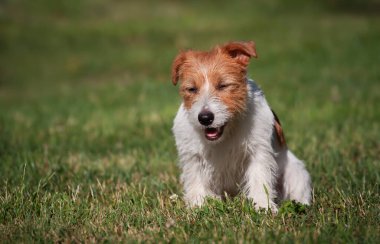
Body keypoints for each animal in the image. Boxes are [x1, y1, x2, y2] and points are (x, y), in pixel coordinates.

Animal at [172, 41, 312, 211]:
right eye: (192, 89)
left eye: (223, 85)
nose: (205, 118)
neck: (228, 132)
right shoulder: (193, 157)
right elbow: (196, 181)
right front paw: (199, 205)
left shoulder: (258, 152)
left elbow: (260, 179)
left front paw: (263, 206)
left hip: (296, 171)